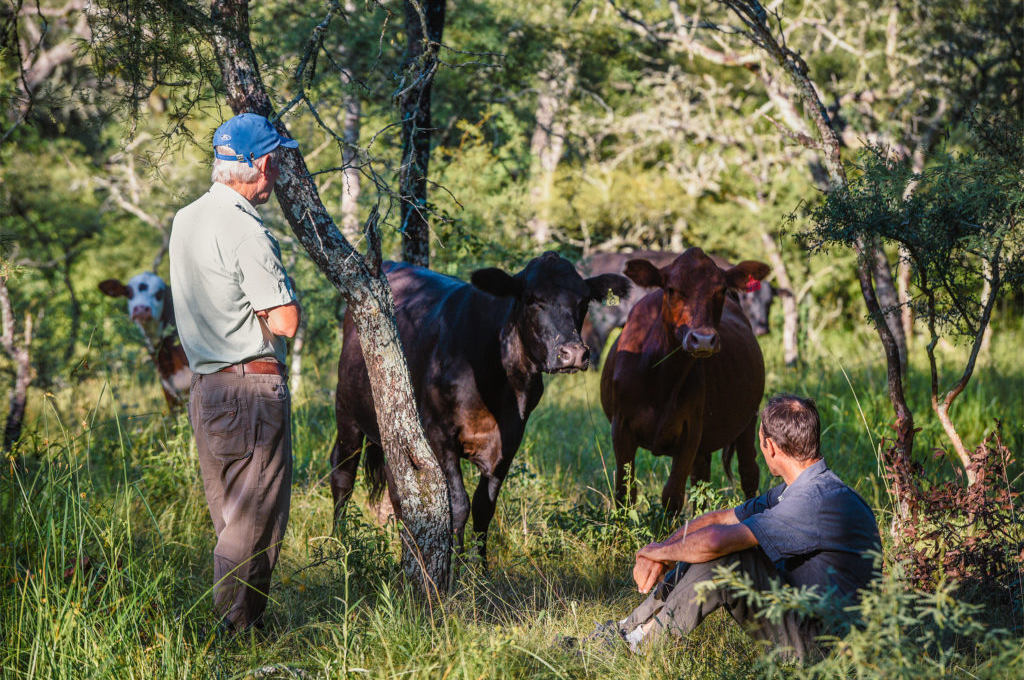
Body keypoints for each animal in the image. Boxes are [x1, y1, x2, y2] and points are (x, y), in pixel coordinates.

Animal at [327, 251, 630, 561]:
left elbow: (484, 507)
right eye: (533, 299)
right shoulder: (438, 435)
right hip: (346, 411)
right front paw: (455, 568)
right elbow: (458, 504)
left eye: (583, 302)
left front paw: (478, 569)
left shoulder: (510, 441)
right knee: (343, 473)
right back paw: (341, 543)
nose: (573, 353)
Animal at [598, 248, 770, 510]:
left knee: (748, 472)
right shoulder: (621, 426)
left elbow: (673, 495)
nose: (703, 339)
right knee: (702, 479)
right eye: (671, 289)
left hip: (748, 419)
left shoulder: (691, 431)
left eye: (720, 290)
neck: (661, 380)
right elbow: (625, 492)